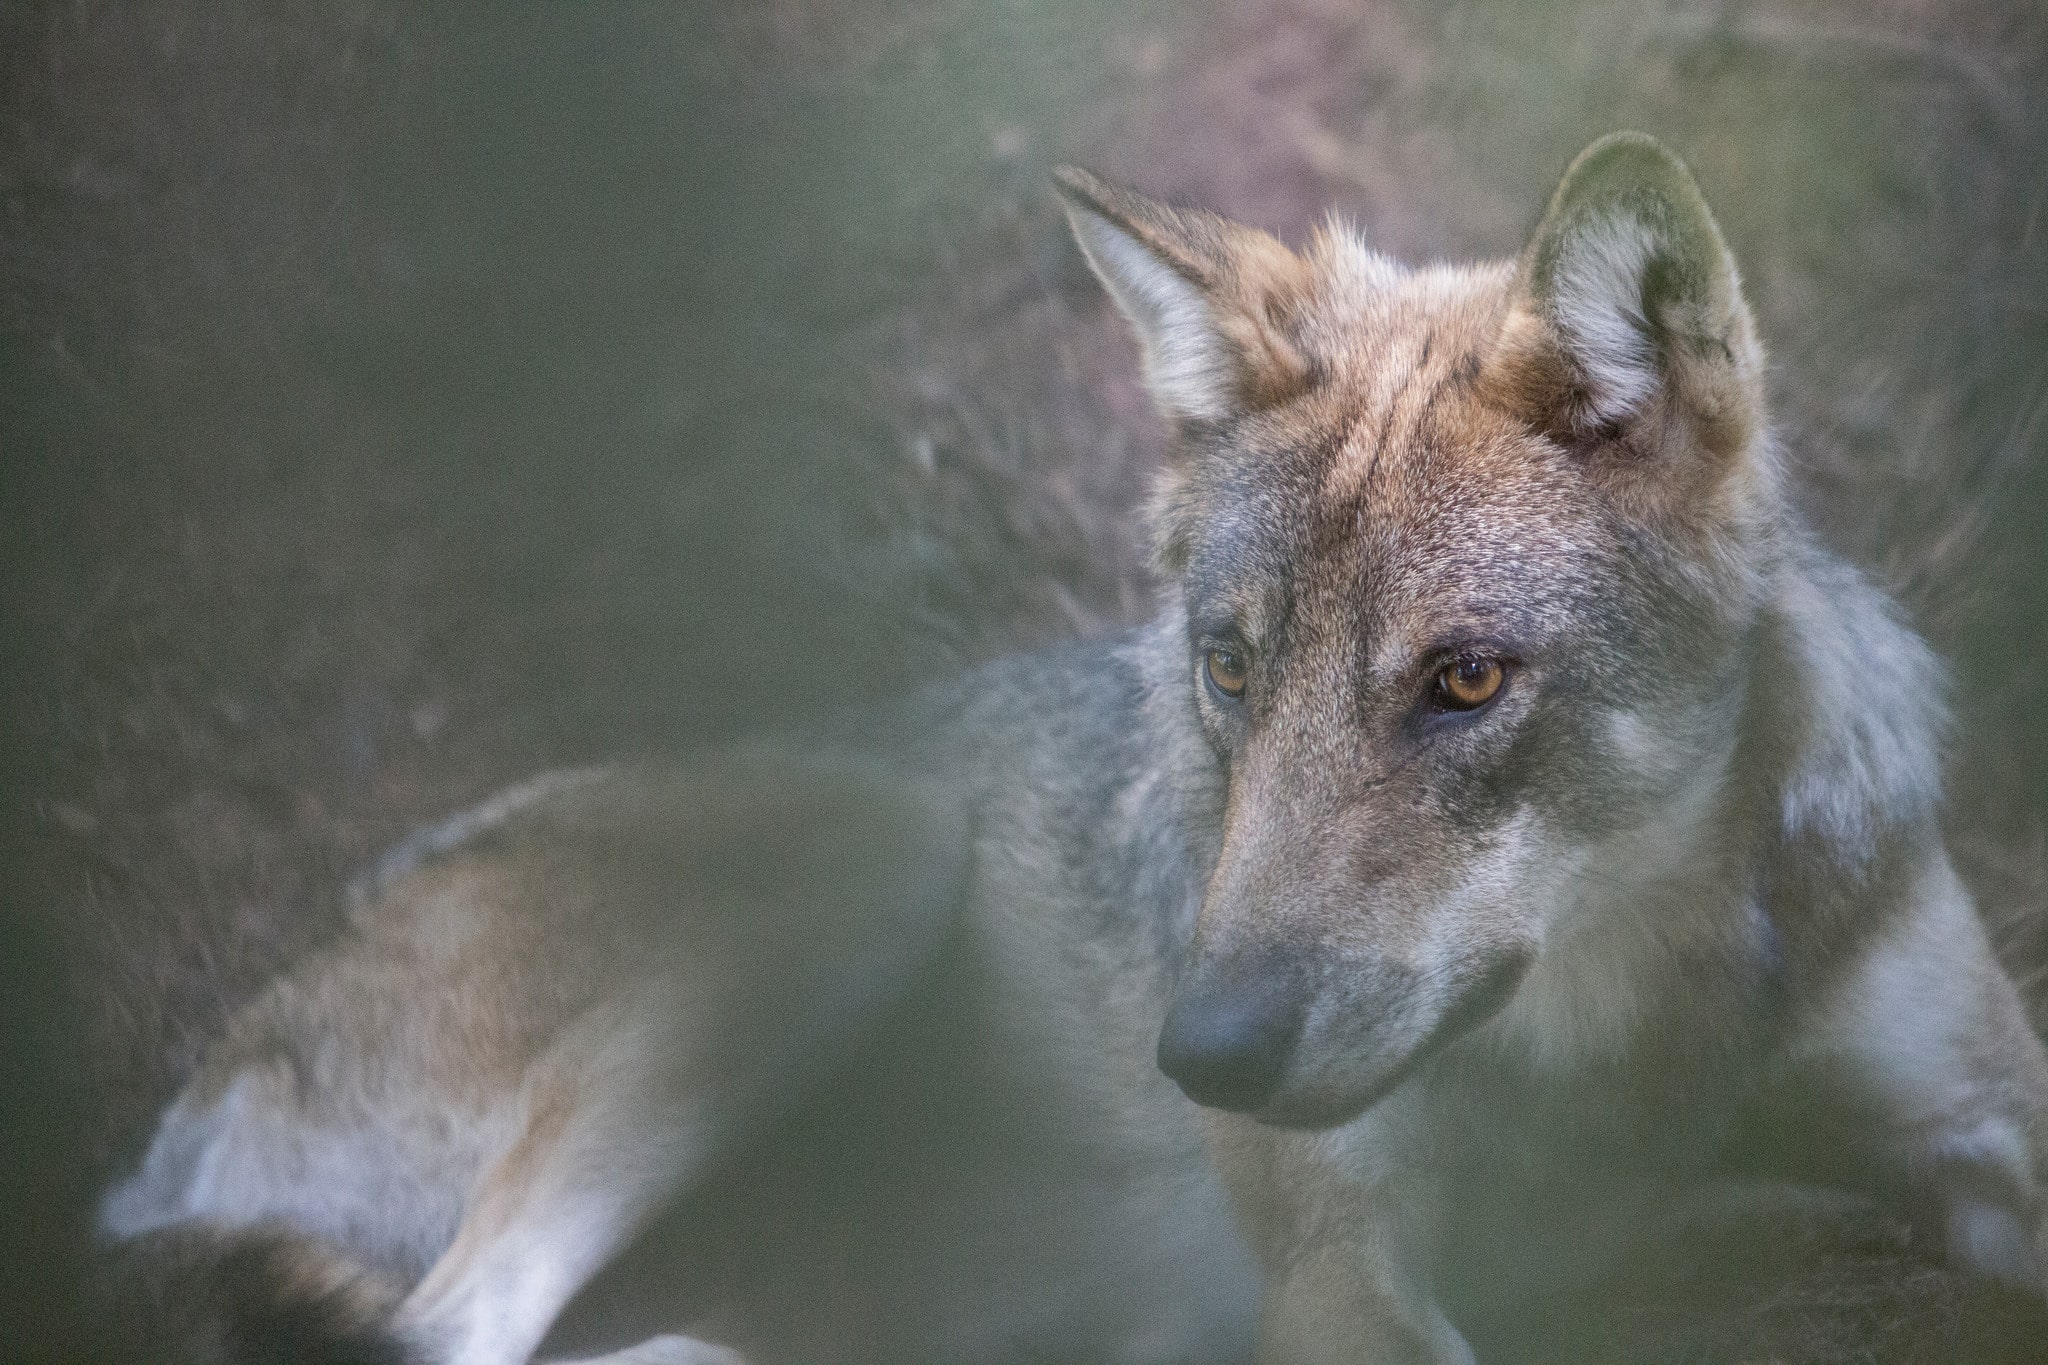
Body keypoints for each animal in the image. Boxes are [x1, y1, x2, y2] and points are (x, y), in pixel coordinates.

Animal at [96, 130, 2048, 1365]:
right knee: (450, 1332)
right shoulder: (1334, 1265)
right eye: (1228, 670)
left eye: (1467, 682)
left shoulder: (1982, 1117)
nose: (1202, 1055)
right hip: (862, 850)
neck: (1622, 1019)